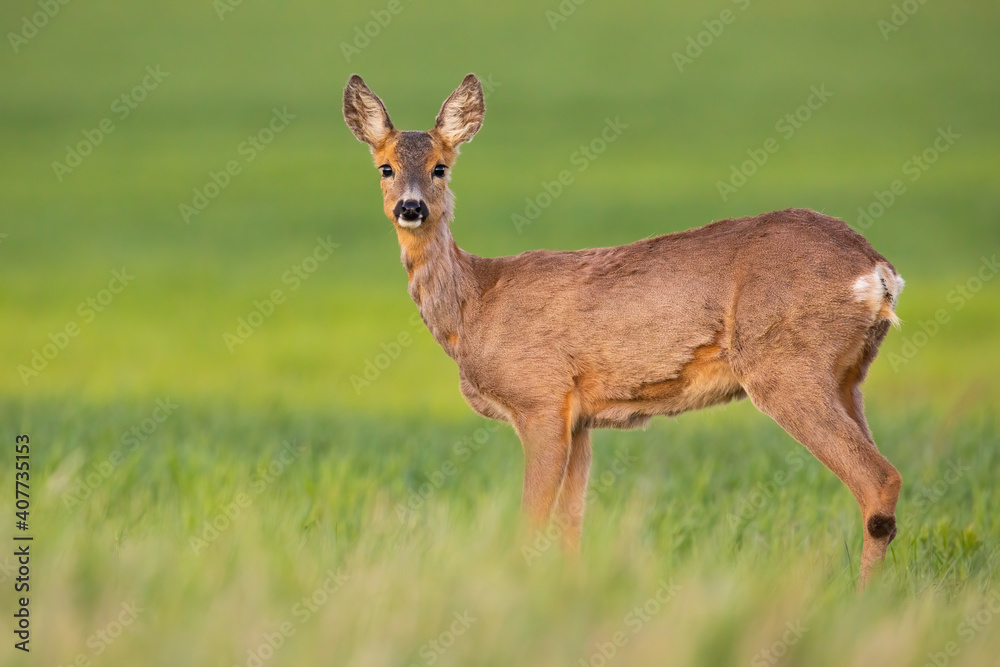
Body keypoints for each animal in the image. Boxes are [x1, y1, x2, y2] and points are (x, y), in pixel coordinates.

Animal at [343, 73, 905, 589]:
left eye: (440, 167)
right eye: (385, 167)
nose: (410, 208)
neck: (474, 305)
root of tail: (878, 271)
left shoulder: (539, 397)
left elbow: (532, 523)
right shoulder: (578, 418)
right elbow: (570, 526)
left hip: (785, 364)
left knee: (879, 479)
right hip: (848, 376)